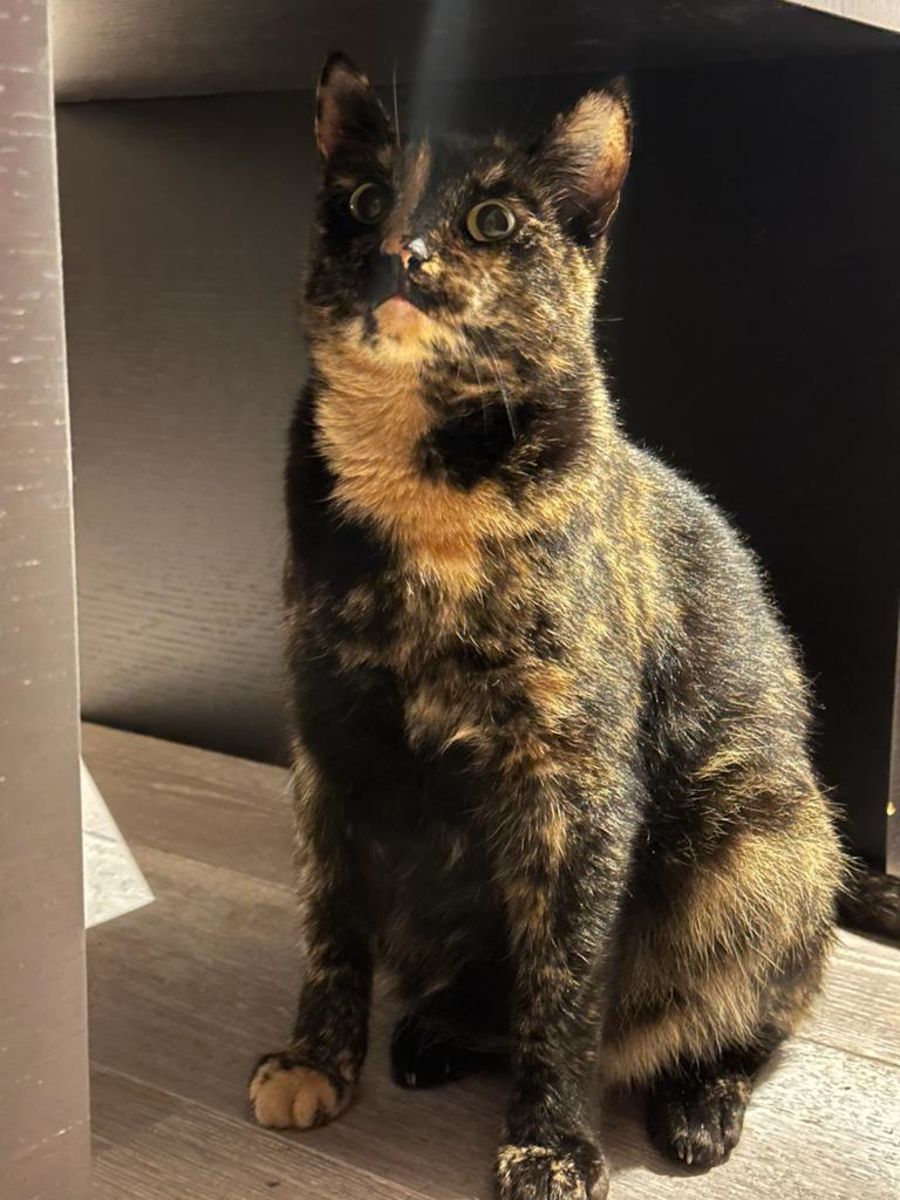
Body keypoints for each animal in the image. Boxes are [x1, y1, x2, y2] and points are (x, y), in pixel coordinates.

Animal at [249, 52, 848, 1200]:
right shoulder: (329, 741)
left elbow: (566, 983)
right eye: (364, 201)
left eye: (490, 219)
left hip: (759, 841)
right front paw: (318, 1060)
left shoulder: (576, 783)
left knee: (756, 1014)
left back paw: (698, 1105)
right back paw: (434, 1035)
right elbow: (331, 922)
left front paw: (553, 1146)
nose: (399, 252)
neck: (423, 490)